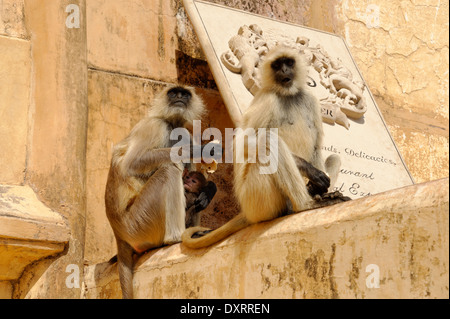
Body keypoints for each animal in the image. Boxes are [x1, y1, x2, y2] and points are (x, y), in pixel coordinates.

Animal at [105, 85, 206, 300]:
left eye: (185, 94)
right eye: (173, 93)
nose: (179, 97)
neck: (172, 124)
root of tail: (118, 231)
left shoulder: (185, 133)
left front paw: (208, 191)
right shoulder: (155, 125)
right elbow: (133, 163)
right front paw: (197, 150)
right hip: (138, 223)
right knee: (169, 169)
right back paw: (176, 238)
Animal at [181, 45, 346, 250]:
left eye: (288, 62)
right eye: (277, 65)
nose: (284, 71)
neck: (288, 95)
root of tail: (247, 212)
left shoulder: (310, 99)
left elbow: (316, 147)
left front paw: (318, 186)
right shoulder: (268, 99)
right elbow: (242, 142)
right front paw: (311, 171)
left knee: (333, 157)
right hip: (256, 198)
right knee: (270, 142)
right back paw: (305, 204)